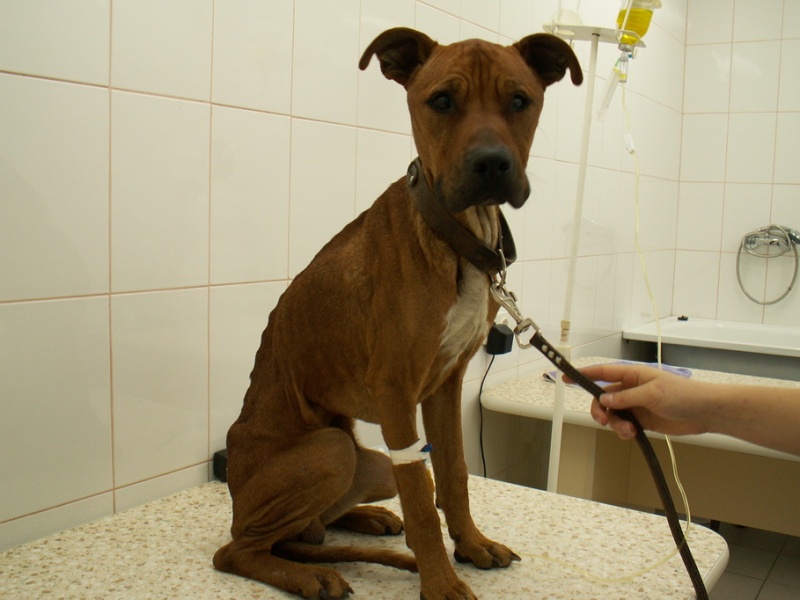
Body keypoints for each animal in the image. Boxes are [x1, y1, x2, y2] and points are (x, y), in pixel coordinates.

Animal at [213, 27, 582, 600]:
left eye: (520, 100)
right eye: (442, 101)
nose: (492, 164)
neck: (454, 234)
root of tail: (234, 500)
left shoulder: (446, 384)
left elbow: (452, 473)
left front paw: (472, 545)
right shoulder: (395, 390)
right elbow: (420, 492)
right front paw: (441, 580)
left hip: (369, 464)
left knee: (309, 530)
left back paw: (364, 520)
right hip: (331, 450)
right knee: (239, 551)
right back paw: (311, 574)